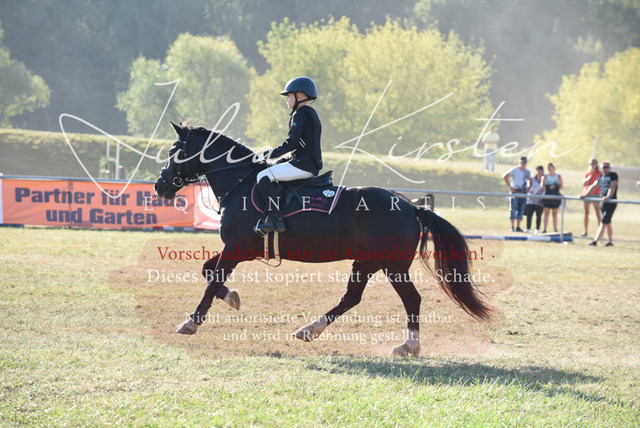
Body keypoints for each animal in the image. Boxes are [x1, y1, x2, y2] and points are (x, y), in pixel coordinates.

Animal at [154, 122, 492, 356]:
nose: (160, 186)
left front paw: (191, 322)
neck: (241, 184)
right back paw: (309, 330)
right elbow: (208, 272)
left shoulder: (236, 248)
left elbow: (211, 280)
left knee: (411, 299)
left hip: (393, 265)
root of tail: (411, 206)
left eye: (175, 151)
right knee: (351, 298)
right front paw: (232, 297)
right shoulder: (241, 250)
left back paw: (408, 347)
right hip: (366, 262)